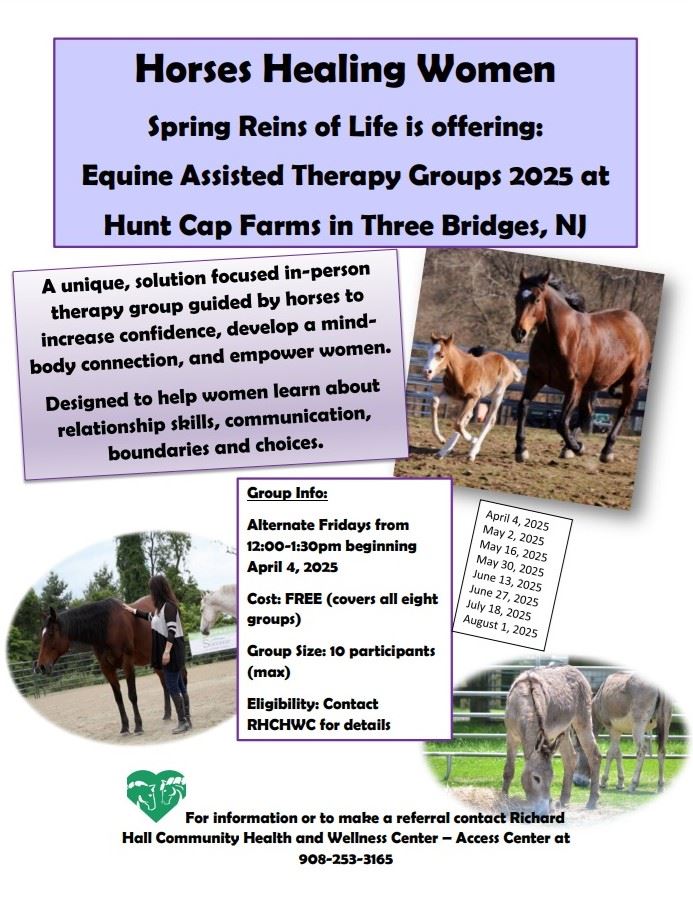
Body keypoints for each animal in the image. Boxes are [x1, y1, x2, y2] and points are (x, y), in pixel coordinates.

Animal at [34, 595, 179, 735]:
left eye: (51, 634)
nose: (41, 666)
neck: (107, 627)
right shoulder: (106, 668)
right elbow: (118, 698)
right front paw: (125, 728)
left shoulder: (127, 663)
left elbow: (132, 695)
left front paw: (138, 726)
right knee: (164, 684)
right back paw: (167, 714)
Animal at [425, 334, 522, 462]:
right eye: (428, 353)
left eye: (441, 355)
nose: (427, 372)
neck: (462, 372)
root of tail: (508, 362)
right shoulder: (454, 396)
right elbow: (435, 401)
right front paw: (441, 439)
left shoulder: (472, 397)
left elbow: (458, 423)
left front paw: (474, 441)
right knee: (467, 417)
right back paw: (443, 452)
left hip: (498, 394)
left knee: (490, 420)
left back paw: (472, 452)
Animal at [502, 666, 601, 813]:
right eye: (536, 778)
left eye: (551, 777)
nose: (543, 811)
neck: (524, 704)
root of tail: (574, 669)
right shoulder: (511, 737)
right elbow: (508, 770)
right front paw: (503, 798)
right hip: (563, 730)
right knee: (570, 758)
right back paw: (564, 800)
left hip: (583, 720)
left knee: (594, 755)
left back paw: (592, 801)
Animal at [511, 270, 651, 463]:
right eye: (517, 297)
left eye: (536, 299)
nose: (519, 333)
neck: (562, 338)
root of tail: (637, 324)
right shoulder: (535, 377)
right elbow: (523, 407)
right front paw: (521, 449)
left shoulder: (574, 386)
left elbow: (562, 422)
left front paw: (578, 447)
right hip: (589, 387)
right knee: (587, 413)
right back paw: (568, 448)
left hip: (632, 381)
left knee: (623, 411)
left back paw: (606, 451)